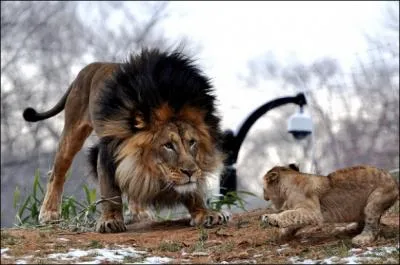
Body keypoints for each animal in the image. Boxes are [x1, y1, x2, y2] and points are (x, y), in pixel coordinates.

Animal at [23, 48, 230, 232]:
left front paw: (204, 213)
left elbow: (190, 189)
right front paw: (110, 220)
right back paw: (49, 213)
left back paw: (140, 212)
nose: (190, 172)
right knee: (57, 172)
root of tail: (92, 66)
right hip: (72, 130)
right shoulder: (108, 151)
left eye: (192, 142)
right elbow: (110, 191)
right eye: (168, 145)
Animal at [262, 164, 396, 244]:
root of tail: (394, 181)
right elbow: (293, 219)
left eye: (263, 189)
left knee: (372, 226)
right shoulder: (304, 211)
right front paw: (284, 235)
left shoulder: (313, 212)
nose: (264, 197)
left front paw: (270, 218)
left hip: (374, 202)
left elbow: (288, 214)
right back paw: (349, 227)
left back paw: (362, 238)